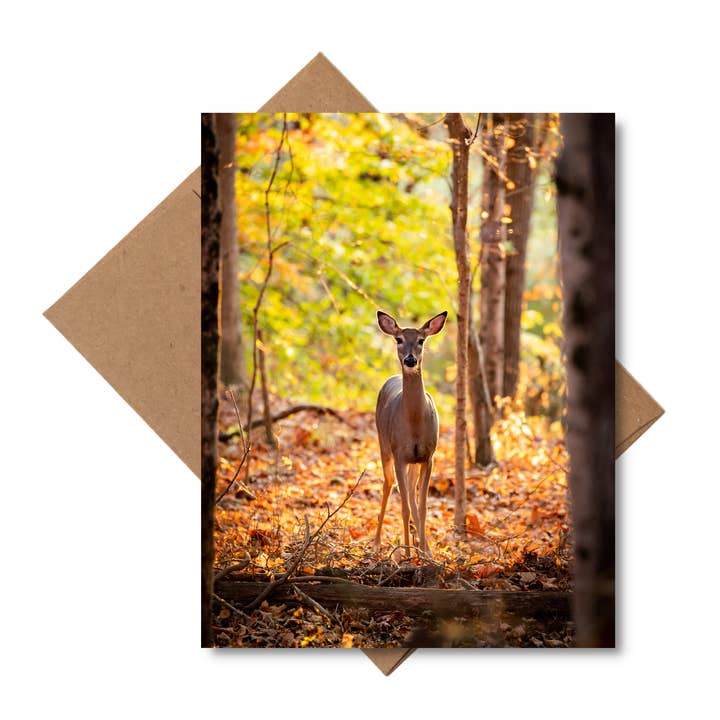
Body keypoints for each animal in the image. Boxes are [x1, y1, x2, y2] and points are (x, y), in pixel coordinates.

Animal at [374, 309, 448, 558]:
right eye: (399, 339)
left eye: (421, 340)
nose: (410, 360)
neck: (414, 425)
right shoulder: (399, 454)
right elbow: (404, 506)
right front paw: (406, 553)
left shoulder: (428, 456)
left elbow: (422, 506)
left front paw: (425, 554)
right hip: (384, 445)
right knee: (388, 484)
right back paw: (377, 543)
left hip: (412, 462)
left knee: (411, 494)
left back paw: (424, 548)